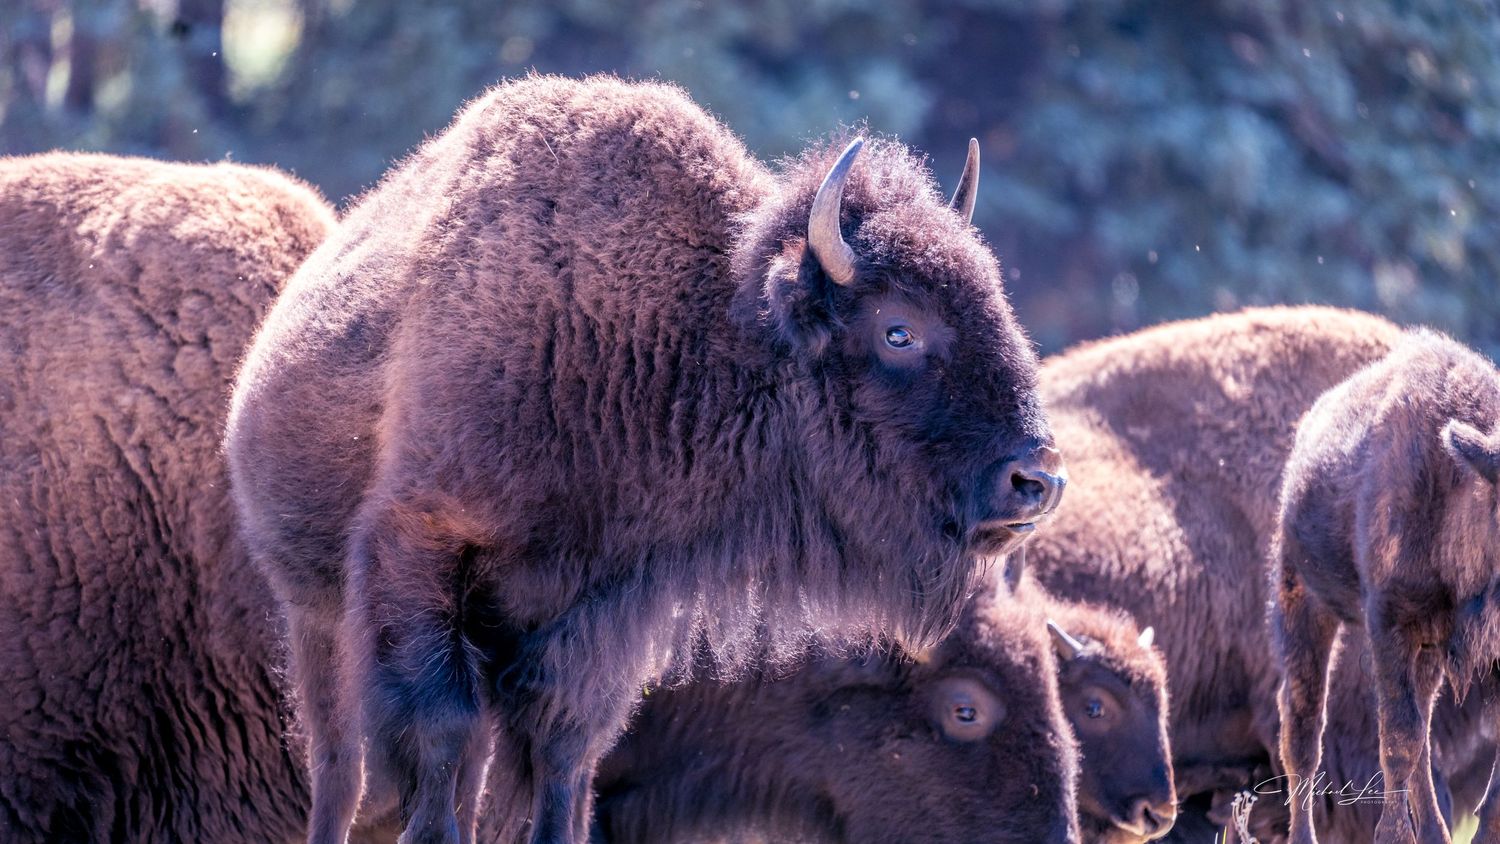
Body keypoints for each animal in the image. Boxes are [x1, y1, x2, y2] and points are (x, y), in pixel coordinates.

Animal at [225, 75, 1062, 844]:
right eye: (898, 330)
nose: (1038, 479)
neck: (678, 329)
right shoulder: (420, 546)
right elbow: (440, 730)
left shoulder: (608, 610)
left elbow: (563, 752)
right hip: (315, 618)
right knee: (343, 769)